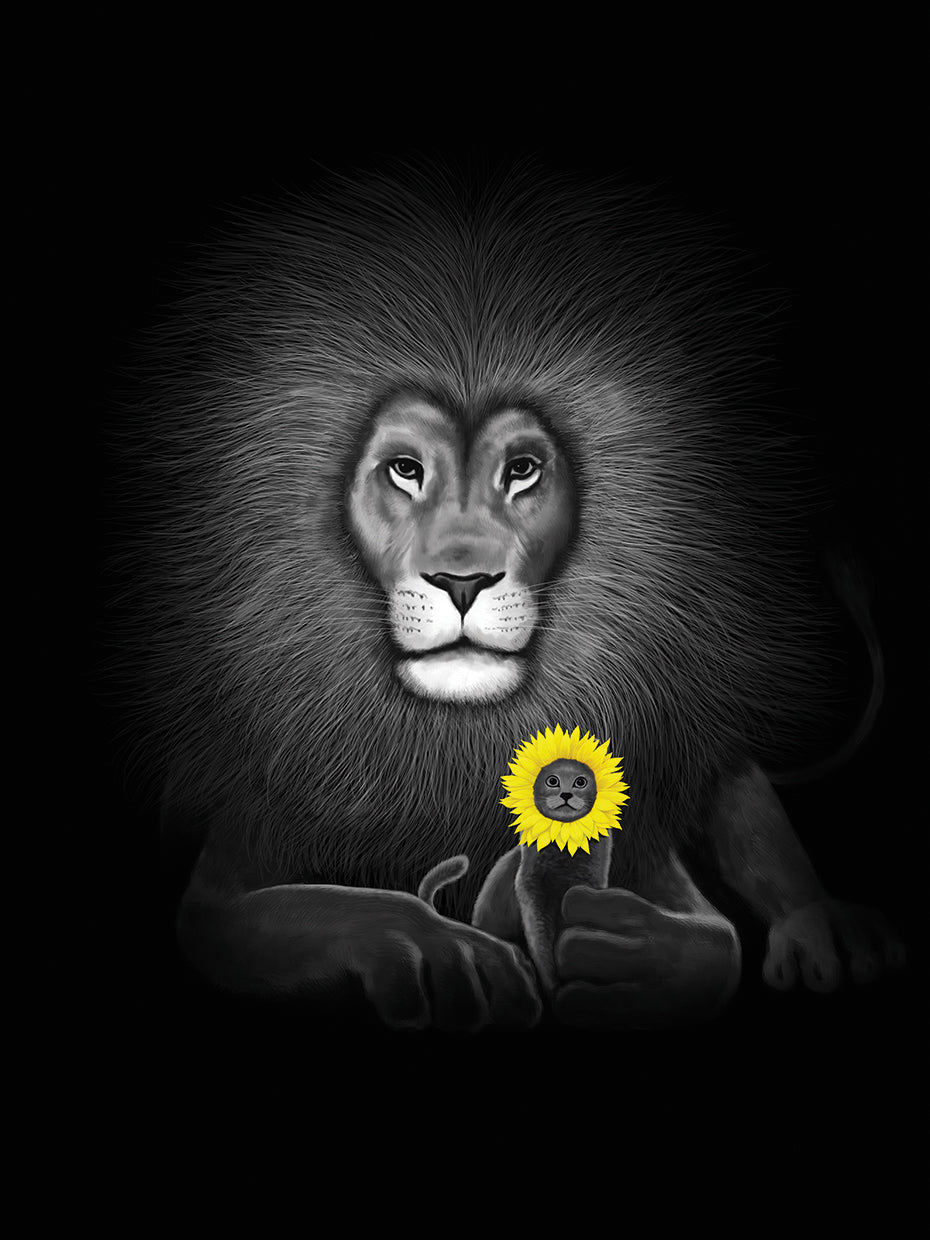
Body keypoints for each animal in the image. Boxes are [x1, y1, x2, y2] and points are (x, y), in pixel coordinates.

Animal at [118, 163, 904, 1031]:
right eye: (404, 469)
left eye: (523, 469)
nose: (463, 581)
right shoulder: (237, 841)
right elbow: (313, 909)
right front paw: (443, 948)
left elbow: (715, 942)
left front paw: (635, 952)